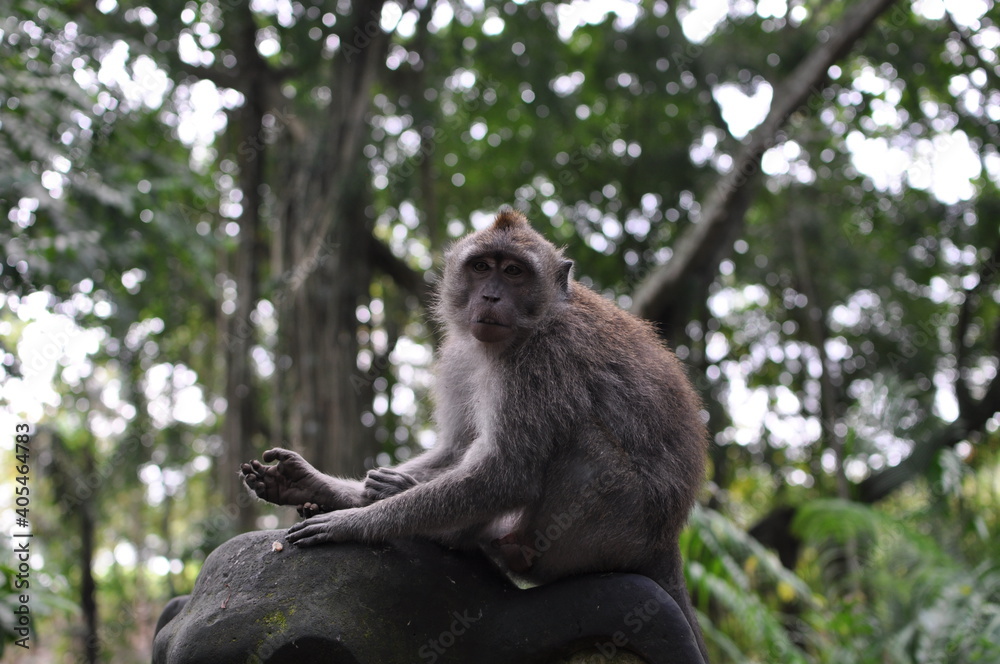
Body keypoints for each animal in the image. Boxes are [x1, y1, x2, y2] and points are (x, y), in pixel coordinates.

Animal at [241, 207, 709, 661]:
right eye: (482, 267)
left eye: (515, 272)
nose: (491, 296)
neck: (534, 322)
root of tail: (666, 541)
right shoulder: (459, 354)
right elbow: (457, 446)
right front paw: (323, 487)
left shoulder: (539, 362)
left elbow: (506, 473)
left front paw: (354, 523)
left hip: (612, 526)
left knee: (580, 444)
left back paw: (458, 535)